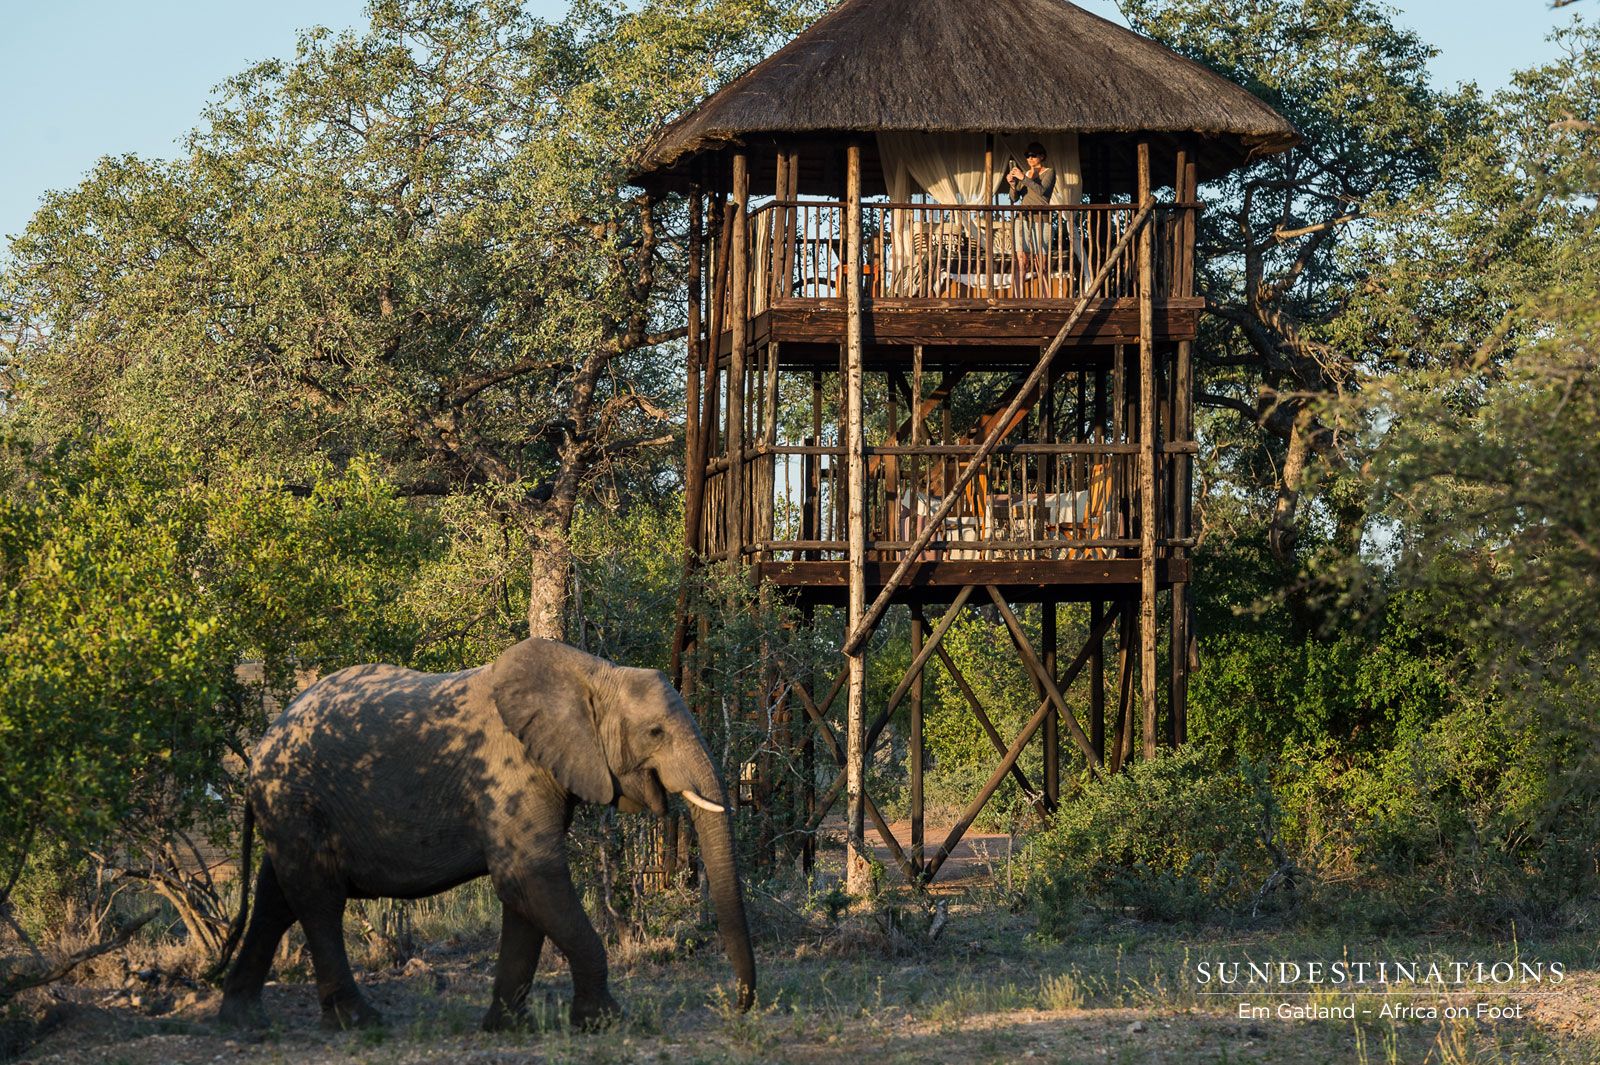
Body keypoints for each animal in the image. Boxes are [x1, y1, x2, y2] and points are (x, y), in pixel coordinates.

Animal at [215, 638, 754, 1031]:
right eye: (656, 733)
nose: (740, 1004)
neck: (591, 673)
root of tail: (262, 745)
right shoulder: (508, 769)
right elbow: (531, 875)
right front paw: (605, 1024)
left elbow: (524, 893)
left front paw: (507, 1028)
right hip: (296, 798)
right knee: (318, 901)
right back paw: (361, 1023)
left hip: (291, 809)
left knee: (276, 899)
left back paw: (244, 1023)